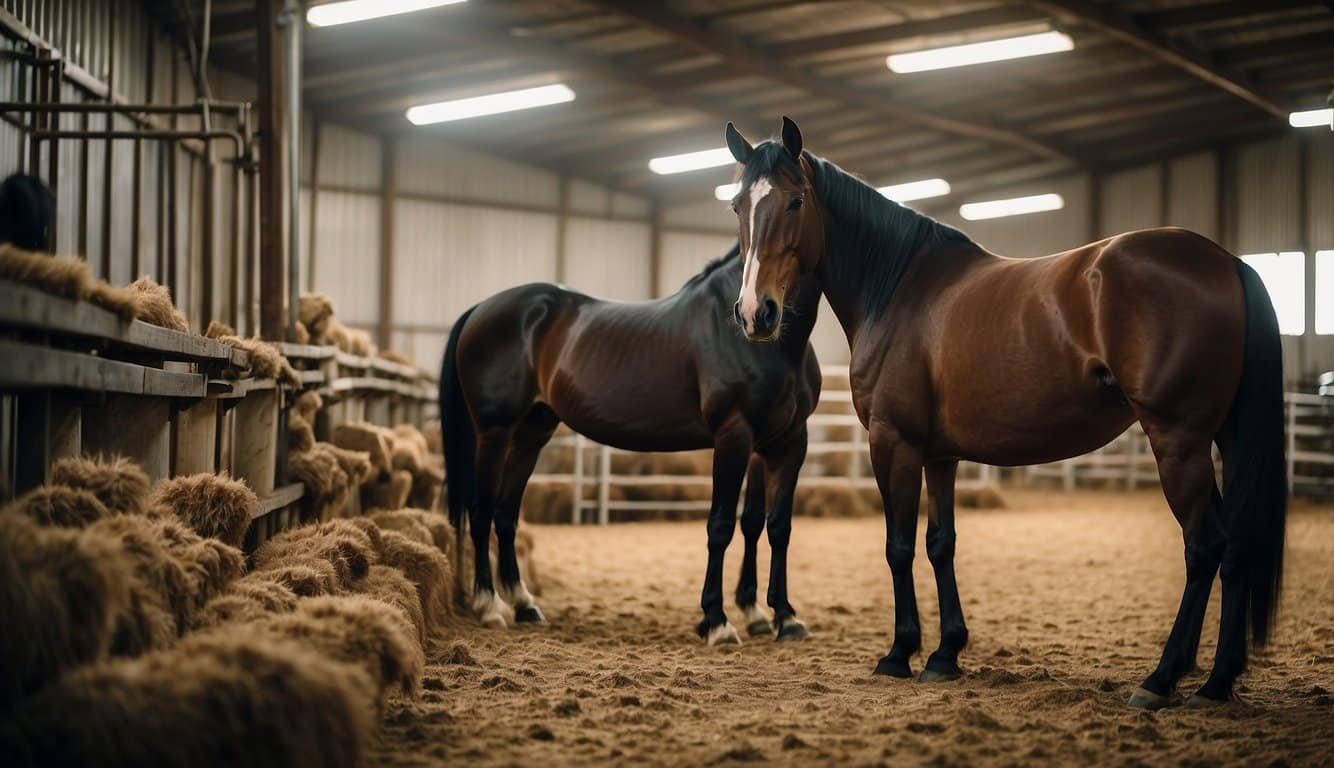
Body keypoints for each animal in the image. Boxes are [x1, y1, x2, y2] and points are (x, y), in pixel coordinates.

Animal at [442, 244, 816, 642]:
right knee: (481, 512)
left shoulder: (778, 443)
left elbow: (763, 524)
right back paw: (489, 605)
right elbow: (723, 526)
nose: (760, 315)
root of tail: (480, 309)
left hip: (532, 433)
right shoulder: (735, 435)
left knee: (505, 514)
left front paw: (769, 614)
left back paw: (524, 603)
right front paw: (718, 621)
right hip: (494, 434)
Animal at [725, 114, 1285, 709]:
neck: (898, 289)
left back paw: (1160, 680)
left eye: (795, 201)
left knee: (1204, 548)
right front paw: (945, 654)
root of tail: (1228, 262)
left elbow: (898, 546)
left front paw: (899, 653)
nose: (755, 313)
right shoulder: (938, 456)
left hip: (1178, 443)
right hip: (1220, 440)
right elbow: (940, 544)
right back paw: (1217, 682)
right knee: (1235, 548)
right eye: (737, 206)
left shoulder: (893, 441)